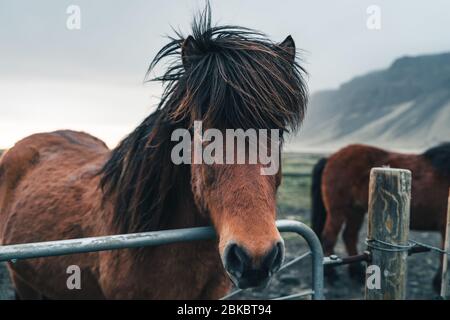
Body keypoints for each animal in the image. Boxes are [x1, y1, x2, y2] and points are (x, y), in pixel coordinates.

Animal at [312, 142, 450, 288]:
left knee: (349, 235)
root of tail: (330, 158)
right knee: (329, 237)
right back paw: (331, 274)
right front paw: (438, 283)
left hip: (355, 211)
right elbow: (444, 257)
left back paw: (357, 273)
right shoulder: (444, 227)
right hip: (337, 211)